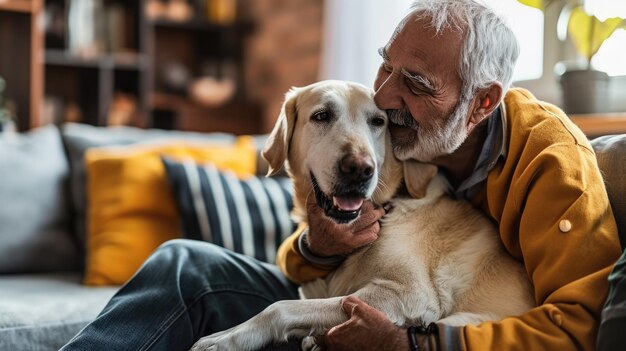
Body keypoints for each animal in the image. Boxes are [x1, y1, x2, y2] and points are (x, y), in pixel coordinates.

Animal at [191, 80, 532, 351]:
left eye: (378, 121)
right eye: (322, 116)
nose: (359, 169)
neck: (386, 209)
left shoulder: (408, 293)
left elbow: (280, 307)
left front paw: (227, 338)